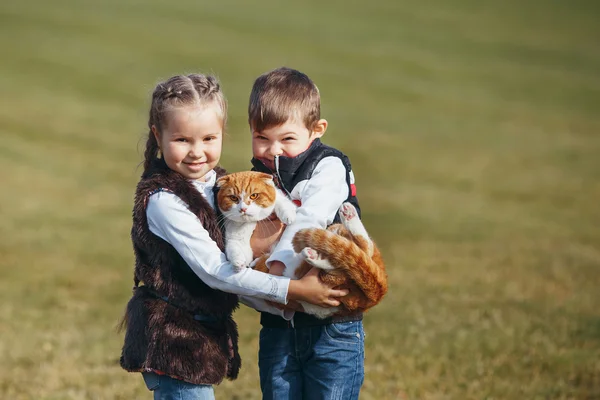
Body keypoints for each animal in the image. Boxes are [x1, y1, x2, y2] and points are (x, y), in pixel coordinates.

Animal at [217, 171, 390, 318]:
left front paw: (288, 216)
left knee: (362, 249)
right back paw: (314, 254)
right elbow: (235, 249)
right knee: (345, 261)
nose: (243, 209)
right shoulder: (235, 238)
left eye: (254, 196)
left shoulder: (281, 199)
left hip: (335, 234)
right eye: (233, 198)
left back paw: (348, 215)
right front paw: (238, 263)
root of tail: (373, 298)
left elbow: (282, 203)